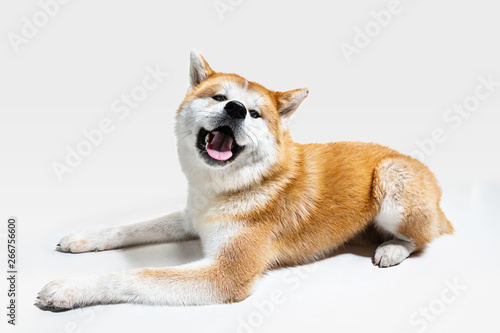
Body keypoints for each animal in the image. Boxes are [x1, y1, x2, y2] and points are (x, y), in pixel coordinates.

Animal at [37, 51, 454, 308]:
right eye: (219, 97)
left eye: (254, 114)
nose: (236, 109)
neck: (230, 188)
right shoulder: (191, 218)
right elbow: (132, 228)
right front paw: (85, 238)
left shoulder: (224, 274)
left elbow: (135, 276)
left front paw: (71, 288)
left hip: (391, 178)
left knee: (422, 238)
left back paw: (392, 248)